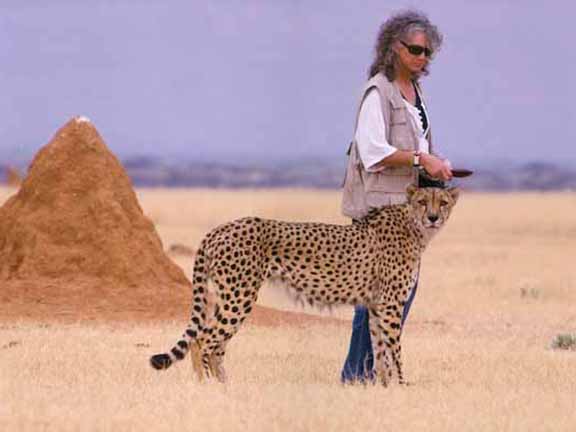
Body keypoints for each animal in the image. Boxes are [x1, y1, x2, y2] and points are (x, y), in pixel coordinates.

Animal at [151, 186, 462, 384]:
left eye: (443, 202)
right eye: (423, 201)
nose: (433, 217)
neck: (413, 226)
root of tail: (220, 228)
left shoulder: (377, 306)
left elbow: (380, 349)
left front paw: (385, 387)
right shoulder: (391, 305)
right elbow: (394, 349)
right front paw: (400, 385)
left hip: (230, 296)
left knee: (211, 342)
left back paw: (221, 385)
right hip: (239, 296)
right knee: (204, 340)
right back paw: (209, 388)